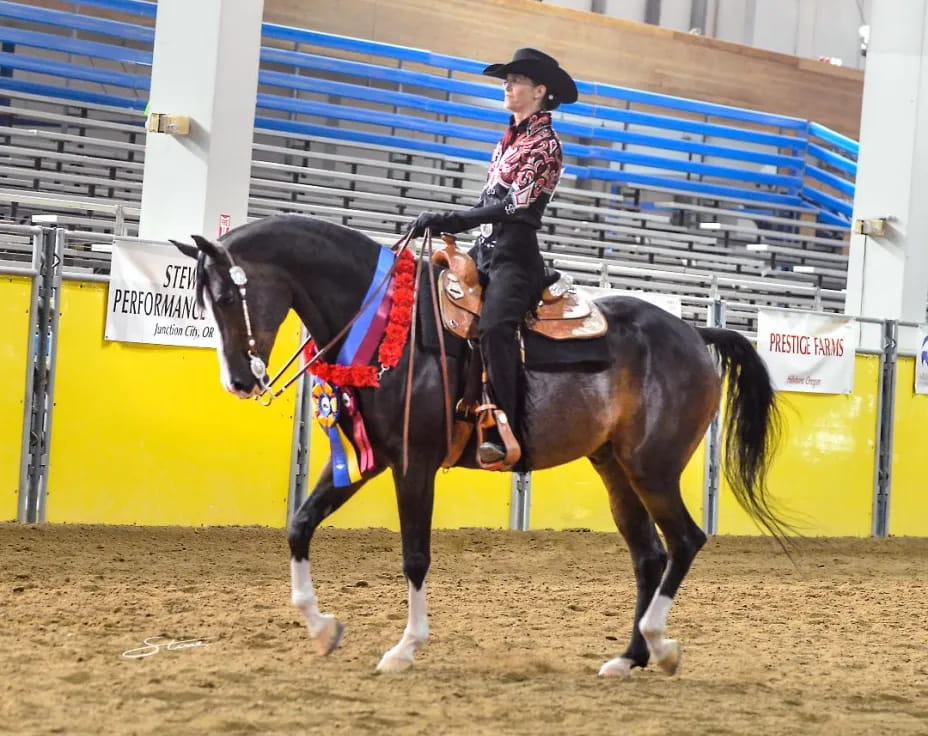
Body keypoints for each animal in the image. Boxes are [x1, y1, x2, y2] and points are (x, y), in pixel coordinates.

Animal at [172, 213, 786, 677]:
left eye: (225, 295)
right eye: (201, 300)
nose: (240, 382)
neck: (390, 324)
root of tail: (694, 333)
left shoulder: (413, 463)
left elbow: (415, 556)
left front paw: (405, 649)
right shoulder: (367, 461)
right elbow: (300, 525)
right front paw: (323, 629)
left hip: (651, 468)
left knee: (685, 540)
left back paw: (660, 645)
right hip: (614, 468)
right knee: (650, 555)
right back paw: (628, 658)